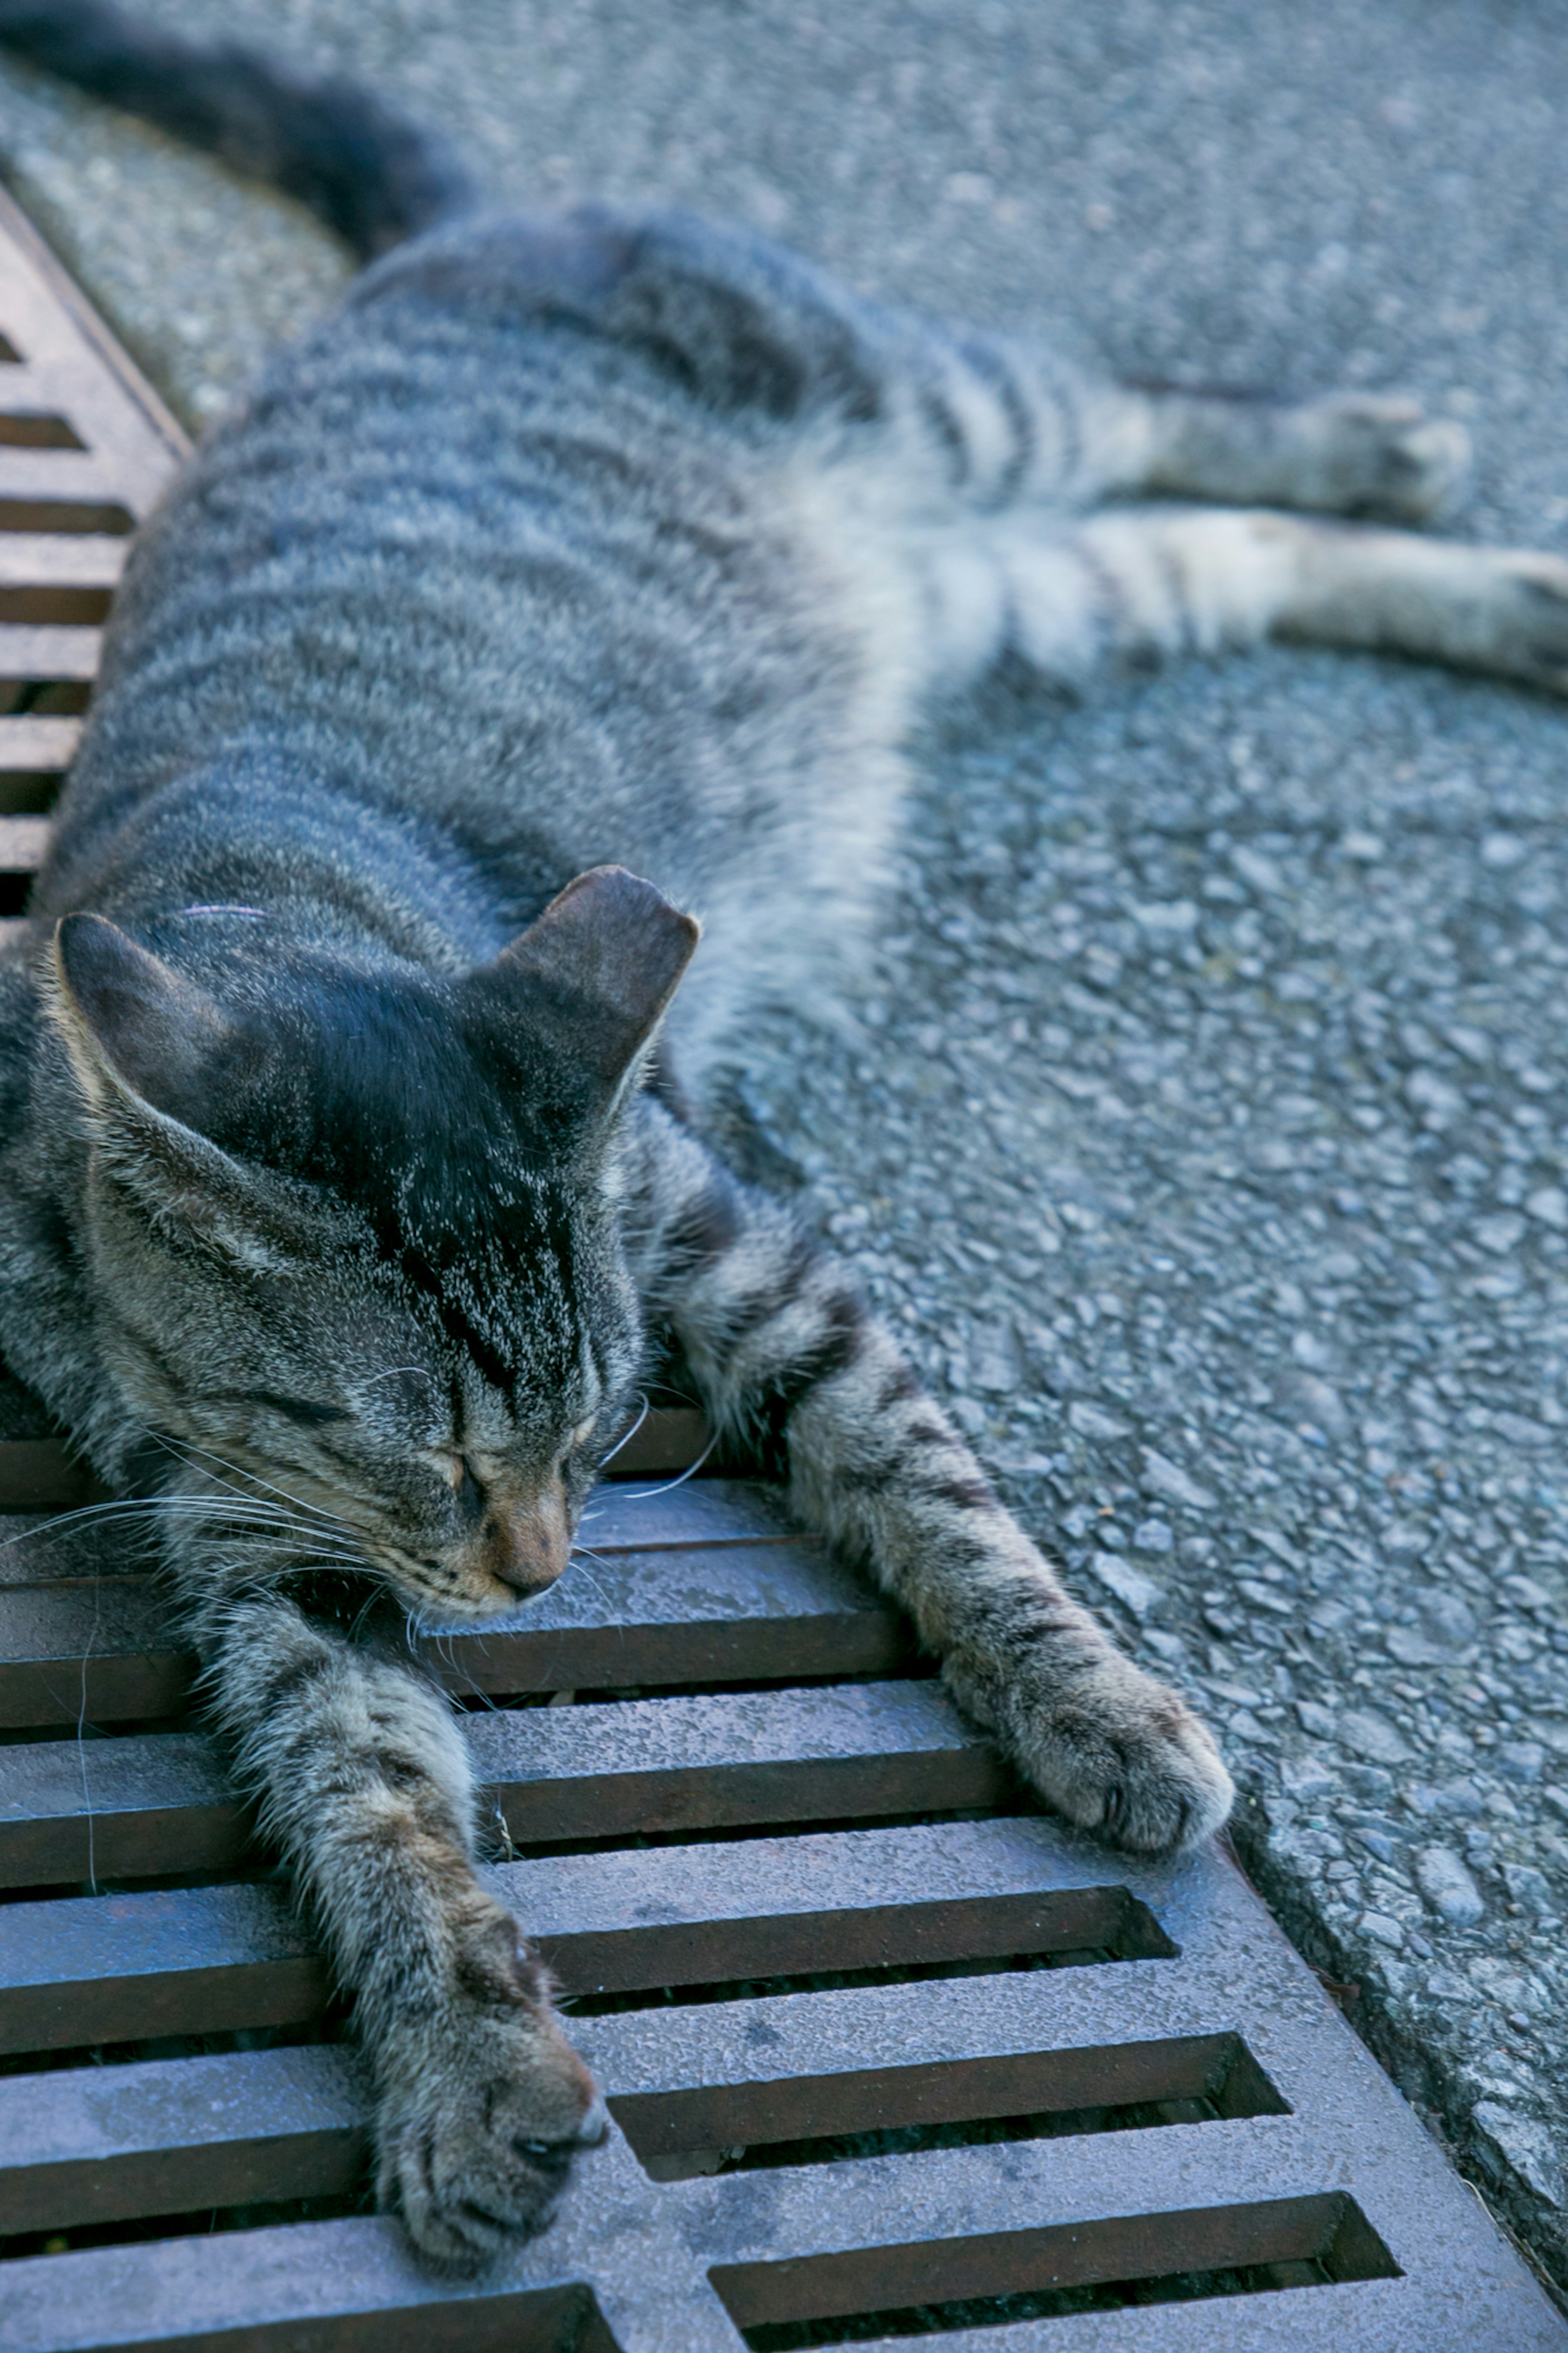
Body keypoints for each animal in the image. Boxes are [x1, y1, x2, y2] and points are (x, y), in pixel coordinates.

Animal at [3, 0, 1568, 2268]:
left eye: (599, 1425)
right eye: (430, 1456)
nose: (542, 1574)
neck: (277, 874)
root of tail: (468, 236)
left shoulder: (746, 1248)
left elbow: (934, 1492)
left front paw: (1093, 1701)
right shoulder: (246, 1530)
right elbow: (357, 1773)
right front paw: (460, 2055)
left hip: (927, 398)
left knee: (1139, 403)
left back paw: (1390, 445)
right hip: (1024, 587)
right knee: (1225, 552)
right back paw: (1510, 597)